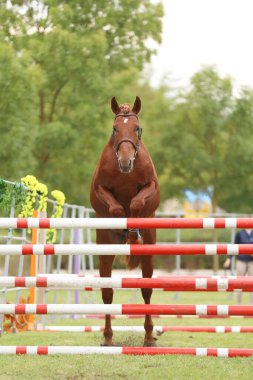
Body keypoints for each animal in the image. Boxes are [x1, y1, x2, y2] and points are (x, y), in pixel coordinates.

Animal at [90, 96, 159, 346]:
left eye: (137, 129)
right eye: (115, 128)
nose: (126, 161)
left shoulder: (150, 186)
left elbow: (137, 203)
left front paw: (132, 230)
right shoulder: (100, 188)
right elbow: (116, 207)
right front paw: (123, 225)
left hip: (149, 252)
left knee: (147, 290)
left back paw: (148, 336)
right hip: (104, 251)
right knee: (107, 292)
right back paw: (108, 337)